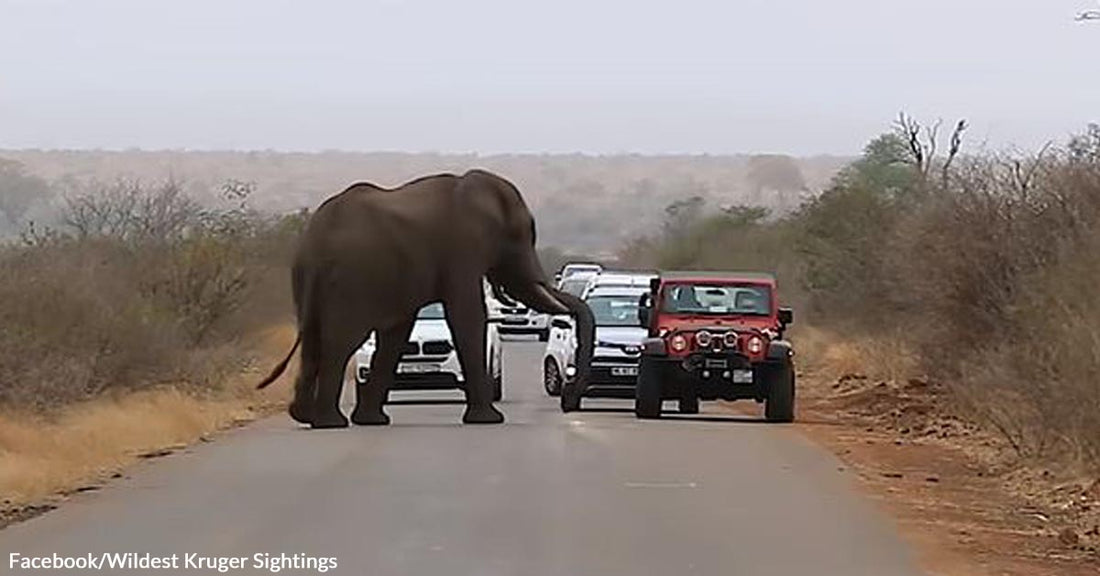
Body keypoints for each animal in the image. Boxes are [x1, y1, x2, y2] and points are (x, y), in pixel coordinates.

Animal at [256, 169, 594, 424]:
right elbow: (467, 314)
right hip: (351, 279)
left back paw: (305, 417)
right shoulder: (462, 247)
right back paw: (330, 423)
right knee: (339, 343)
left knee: (313, 341)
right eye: (522, 235)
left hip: (307, 280)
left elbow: (397, 331)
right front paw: (489, 420)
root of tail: (317, 241)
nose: (567, 402)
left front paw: (373, 421)